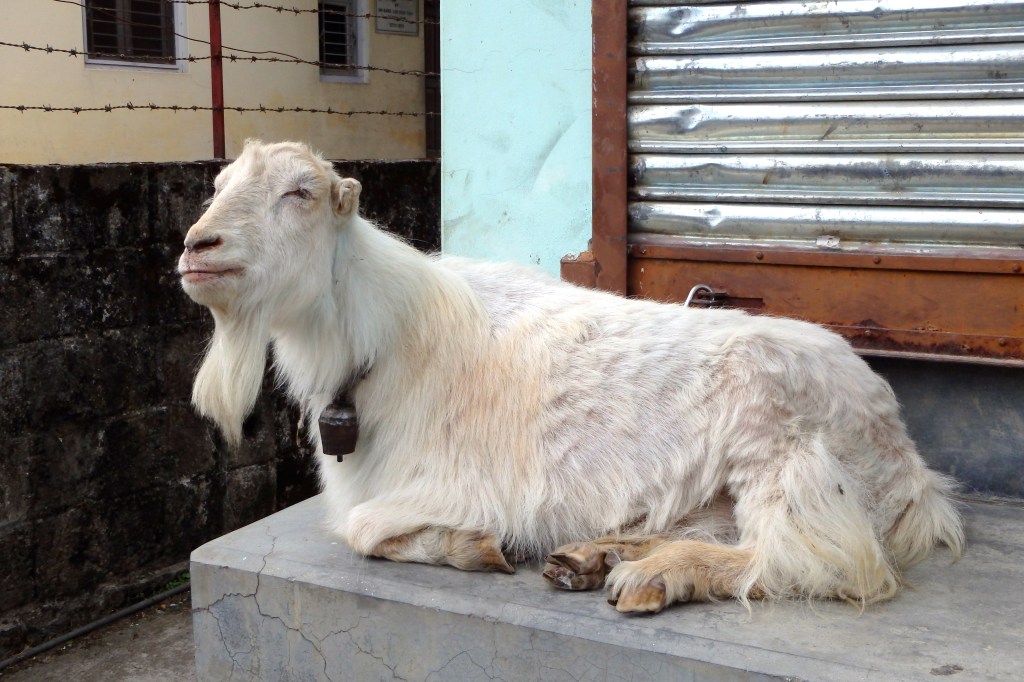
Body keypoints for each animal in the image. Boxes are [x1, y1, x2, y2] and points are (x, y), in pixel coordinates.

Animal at [179, 140, 964, 613]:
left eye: (301, 193)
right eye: (217, 185)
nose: (197, 247)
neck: (387, 334)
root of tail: (909, 463)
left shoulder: (463, 484)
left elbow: (365, 528)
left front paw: (478, 547)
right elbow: (359, 529)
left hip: (785, 451)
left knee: (813, 559)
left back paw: (651, 575)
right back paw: (590, 557)